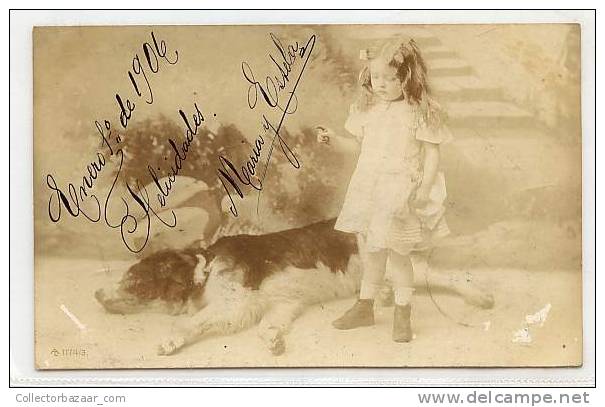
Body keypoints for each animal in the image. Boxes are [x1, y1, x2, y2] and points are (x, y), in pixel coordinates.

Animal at [93, 218, 490, 356]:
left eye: (133, 280)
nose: (96, 295)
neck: (203, 271)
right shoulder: (279, 304)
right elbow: (269, 327)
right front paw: (274, 341)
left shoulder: (237, 304)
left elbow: (189, 323)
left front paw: (169, 340)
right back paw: (383, 297)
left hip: (396, 264)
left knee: (444, 277)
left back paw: (481, 296)